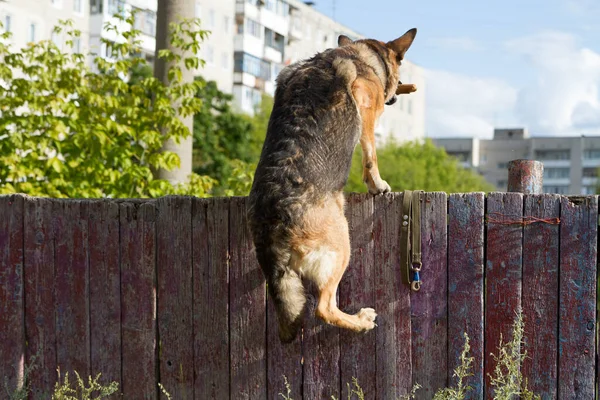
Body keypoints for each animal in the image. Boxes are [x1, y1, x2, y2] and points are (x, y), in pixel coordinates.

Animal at [247, 28, 418, 342]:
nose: (403, 86)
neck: (360, 55)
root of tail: (272, 217)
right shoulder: (365, 107)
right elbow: (370, 157)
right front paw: (378, 185)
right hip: (342, 245)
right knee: (323, 308)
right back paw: (360, 321)